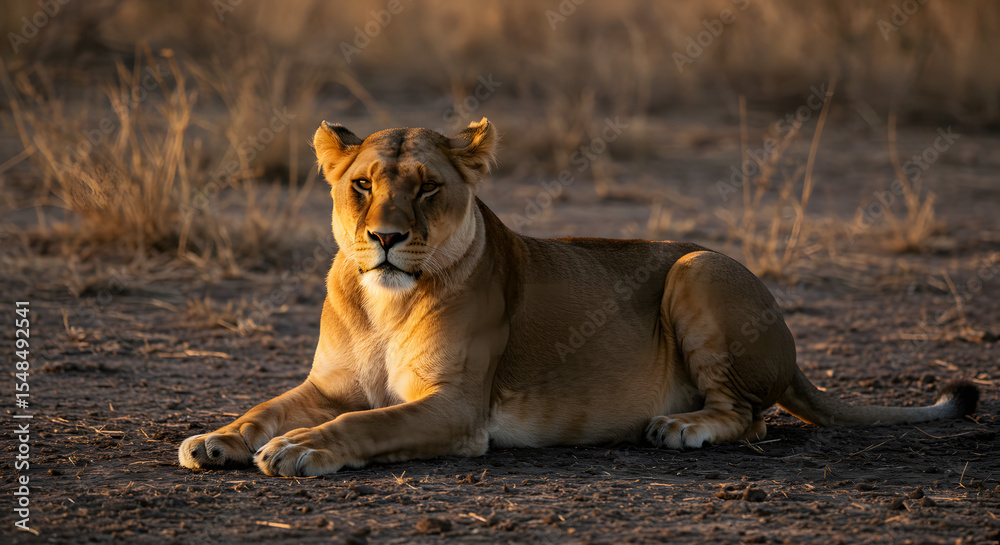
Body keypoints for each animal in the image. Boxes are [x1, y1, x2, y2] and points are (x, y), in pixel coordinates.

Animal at [179, 118, 978, 477]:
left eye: (429, 188)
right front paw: (218, 438)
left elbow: (364, 424)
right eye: (363, 184)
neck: (385, 302)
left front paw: (302, 448)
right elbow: (265, 408)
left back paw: (680, 427)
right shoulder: (328, 384)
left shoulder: (457, 409)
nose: (384, 236)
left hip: (700, 267)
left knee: (750, 415)